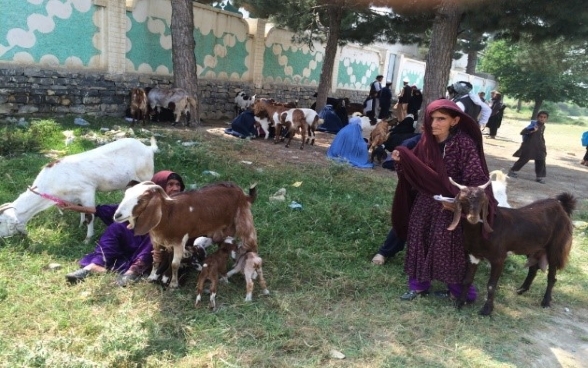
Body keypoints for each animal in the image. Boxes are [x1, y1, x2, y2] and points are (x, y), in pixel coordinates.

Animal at [0, 137, 158, 243]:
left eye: (0, 221)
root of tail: (148, 148)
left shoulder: (87, 191)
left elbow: (90, 215)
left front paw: (87, 238)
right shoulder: (75, 196)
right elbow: (81, 210)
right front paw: (80, 225)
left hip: (146, 175)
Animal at [113, 180, 258, 288]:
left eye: (141, 199)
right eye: (126, 194)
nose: (117, 215)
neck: (168, 214)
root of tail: (243, 194)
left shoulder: (179, 241)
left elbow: (174, 263)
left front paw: (173, 284)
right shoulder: (156, 240)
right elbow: (156, 258)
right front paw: (152, 276)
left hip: (243, 221)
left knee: (250, 244)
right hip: (224, 230)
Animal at [446, 178, 576, 316]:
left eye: (482, 201)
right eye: (463, 200)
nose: (473, 218)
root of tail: (561, 206)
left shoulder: (498, 258)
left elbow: (491, 285)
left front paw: (486, 310)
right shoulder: (473, 255)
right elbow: (467, 280)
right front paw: (459, 303)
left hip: (556, 247)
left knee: (552, 276)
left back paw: (545, 302)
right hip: (532, 246)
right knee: (533, 268)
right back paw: (521, 290)